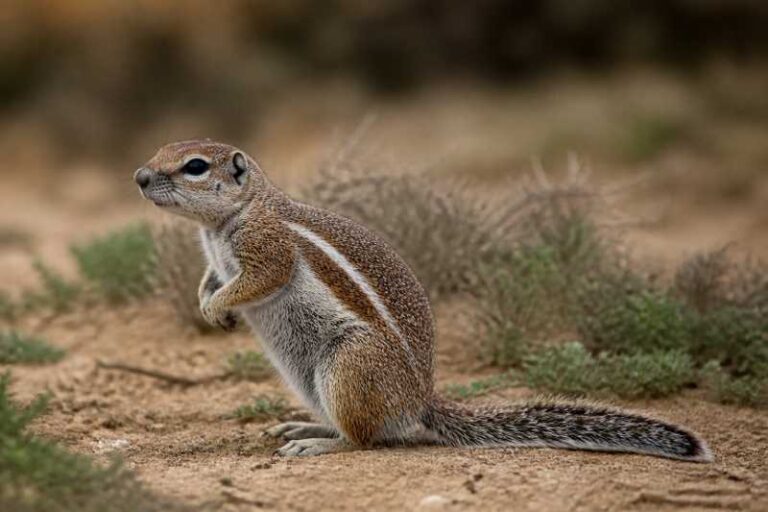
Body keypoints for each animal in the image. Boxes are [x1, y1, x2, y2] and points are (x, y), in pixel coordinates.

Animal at [134, 139, 711, 462]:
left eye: (193, 166)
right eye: (160, 153)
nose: (139, 175)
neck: (230, 218)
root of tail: (420, 402)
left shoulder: (267, 247)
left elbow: (259, 279)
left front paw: (218, 308)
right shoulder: (217, 257)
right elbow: (213, 278)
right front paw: (210, 304)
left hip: (348, 364)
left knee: (365, 439)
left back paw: (318, 444)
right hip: (306, 374)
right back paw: (307, 424)